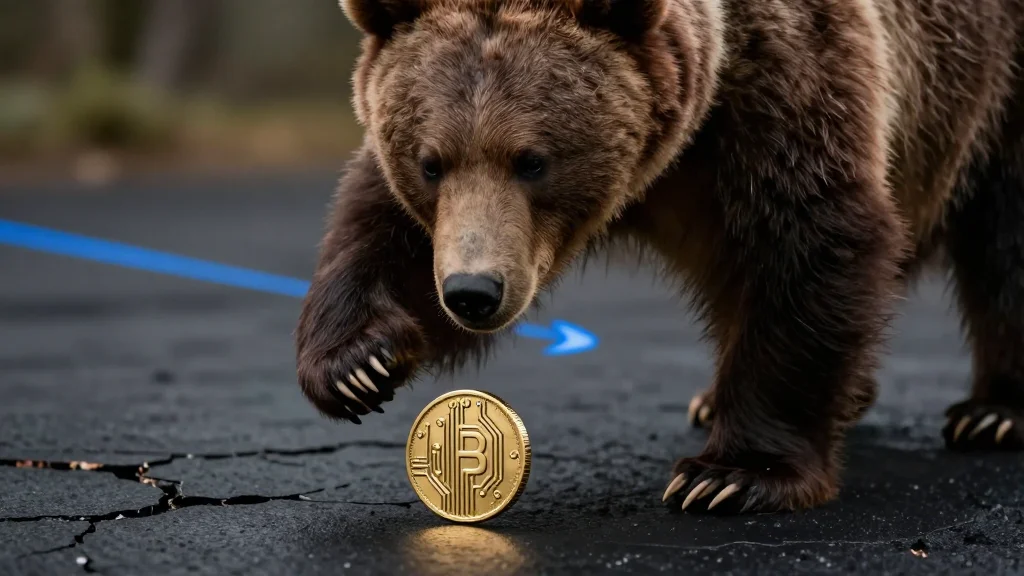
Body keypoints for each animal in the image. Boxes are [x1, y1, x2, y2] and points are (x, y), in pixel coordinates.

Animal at [296, 0, 1024, 514]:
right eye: (430, 162)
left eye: (534, 160)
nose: (474, 291)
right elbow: (384, 234)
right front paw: (358, 364)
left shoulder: (785, 90)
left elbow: (809, 238)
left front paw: (731, 476)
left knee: (1005, 242)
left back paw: (994, 413)